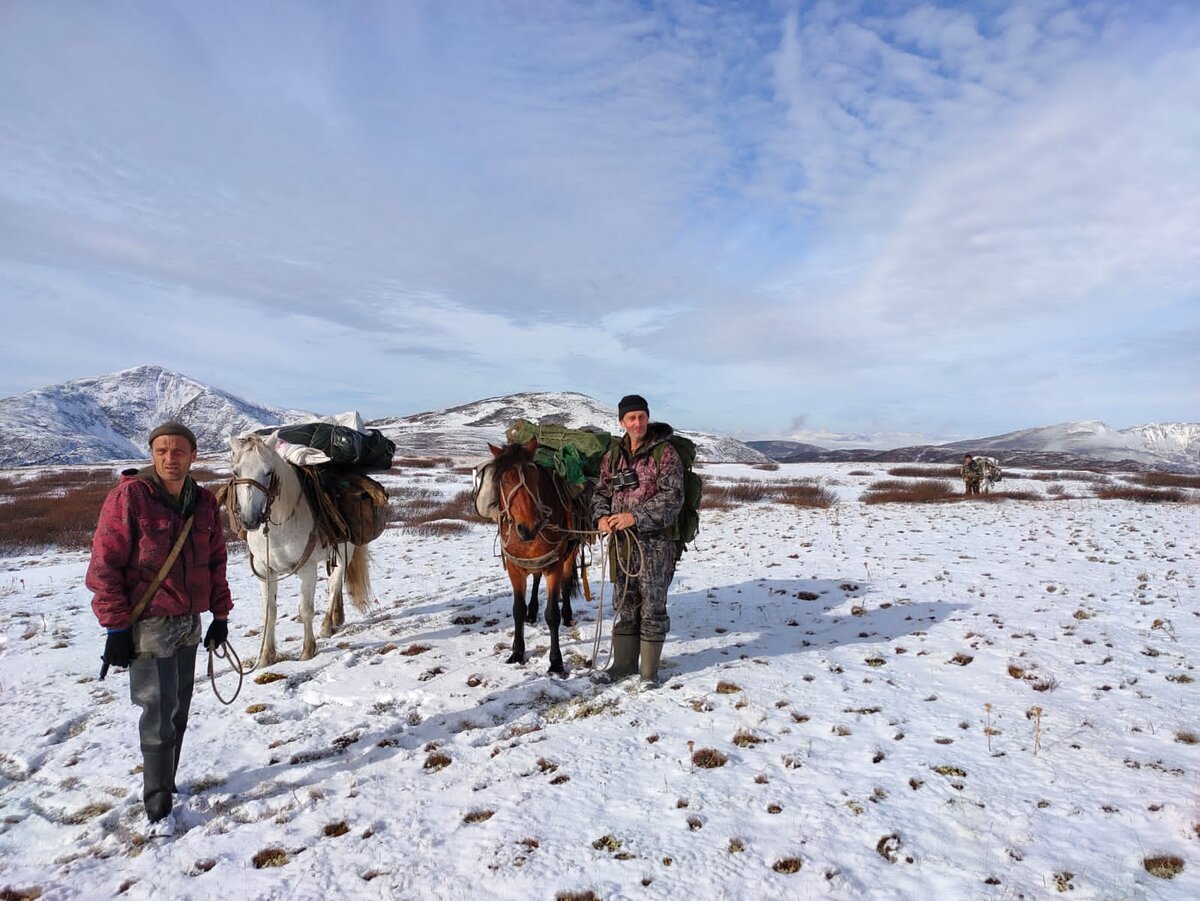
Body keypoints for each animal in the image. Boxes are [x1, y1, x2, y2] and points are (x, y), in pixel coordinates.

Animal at [226, 434, 372, 667]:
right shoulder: (266, 571)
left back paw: (327, 625)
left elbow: (305, 609)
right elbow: (269, 612)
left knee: (335, 583)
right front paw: (265, 657)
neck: (281, 525)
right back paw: (336, 619)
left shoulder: (307, 569)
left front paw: (307, 651)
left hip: (344, 551)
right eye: (236, 471)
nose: (250, 520)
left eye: (268, 472)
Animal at [487, 436, 580, 676]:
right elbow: (517, 610)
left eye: (534, 476)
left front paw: (556, 662)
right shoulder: (515, 568)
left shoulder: (554, 565)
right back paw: (532, 611)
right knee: (536, 578)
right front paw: (517, 652)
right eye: (504, 480)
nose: (528, 527)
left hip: (569, 553)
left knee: (566, 584)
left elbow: (552, 614)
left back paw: (568, 614)